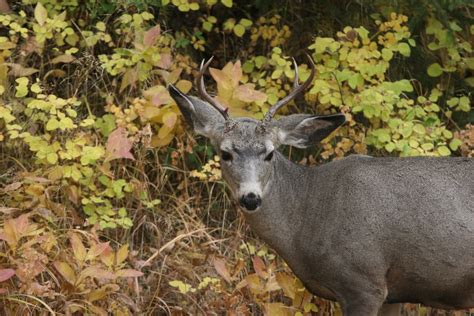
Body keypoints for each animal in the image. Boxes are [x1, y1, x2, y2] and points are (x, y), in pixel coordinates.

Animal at [168, 55, 474, 314]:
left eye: (269, 153)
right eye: (225, 153)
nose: (251, 198)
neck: (309, 217)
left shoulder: (364, 283)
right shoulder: (395, 294)